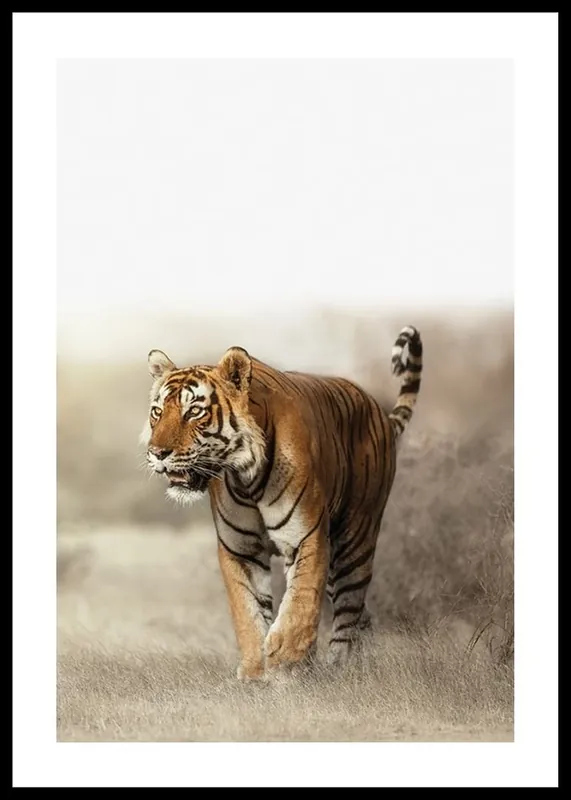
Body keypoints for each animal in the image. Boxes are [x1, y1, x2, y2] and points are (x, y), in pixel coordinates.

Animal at [141, 325, 423, 679]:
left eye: (194, 411)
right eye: (157, 412)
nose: (157, 453)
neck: (245, 477)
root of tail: (379, 413)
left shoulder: (306, 538)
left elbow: (300, 603)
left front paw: (285, 662)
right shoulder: (240, 549)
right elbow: (247, 612)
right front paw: (254, 672)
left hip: (355, 540)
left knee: (349, 609)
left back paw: (340, 668)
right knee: (360, 614)